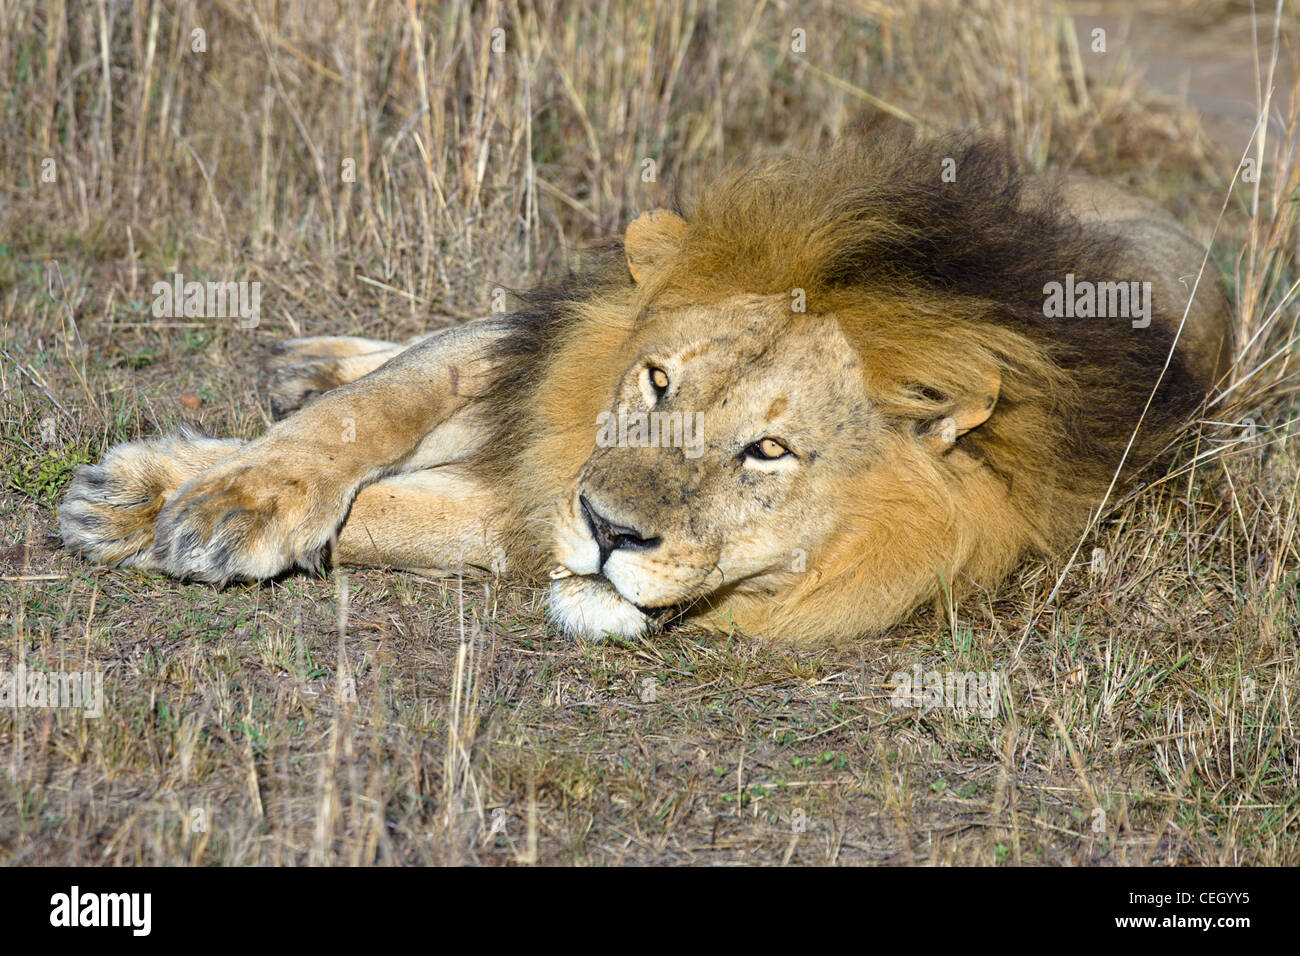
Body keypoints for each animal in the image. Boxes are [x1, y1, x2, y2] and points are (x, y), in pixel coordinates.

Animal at [59, 137, 1233, 645]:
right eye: (658, 381)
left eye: (769, 451)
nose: (606, 528)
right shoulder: (551, 354)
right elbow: (385, 401)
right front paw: (204, 497)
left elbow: (413, 508)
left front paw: (158, 505)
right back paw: (306, 363)